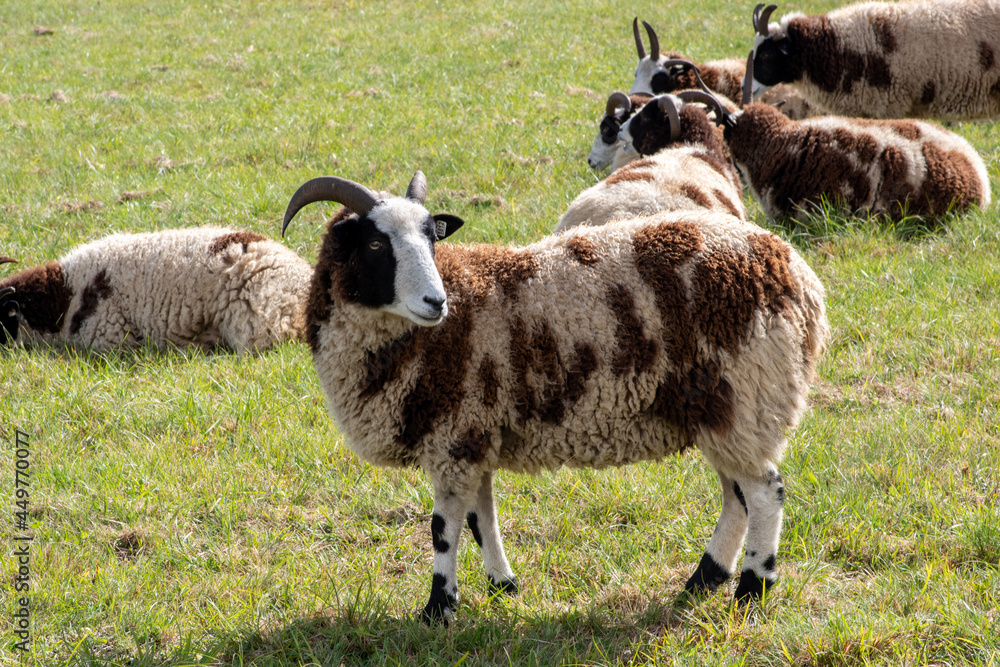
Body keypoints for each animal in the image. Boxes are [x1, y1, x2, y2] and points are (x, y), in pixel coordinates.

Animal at [280, 171, 828, 628]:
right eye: (375, 242)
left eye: (432, 239)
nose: (436, 302)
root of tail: (797, 276)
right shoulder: (475, 432)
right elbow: (480, 518)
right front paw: (503, 587)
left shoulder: (453, 435)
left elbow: (443, 528)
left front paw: (438, 609)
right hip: (717, 411)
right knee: (737, 498)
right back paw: (702, 582)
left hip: (745, 398)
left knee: (765, 493)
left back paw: (752, 592)